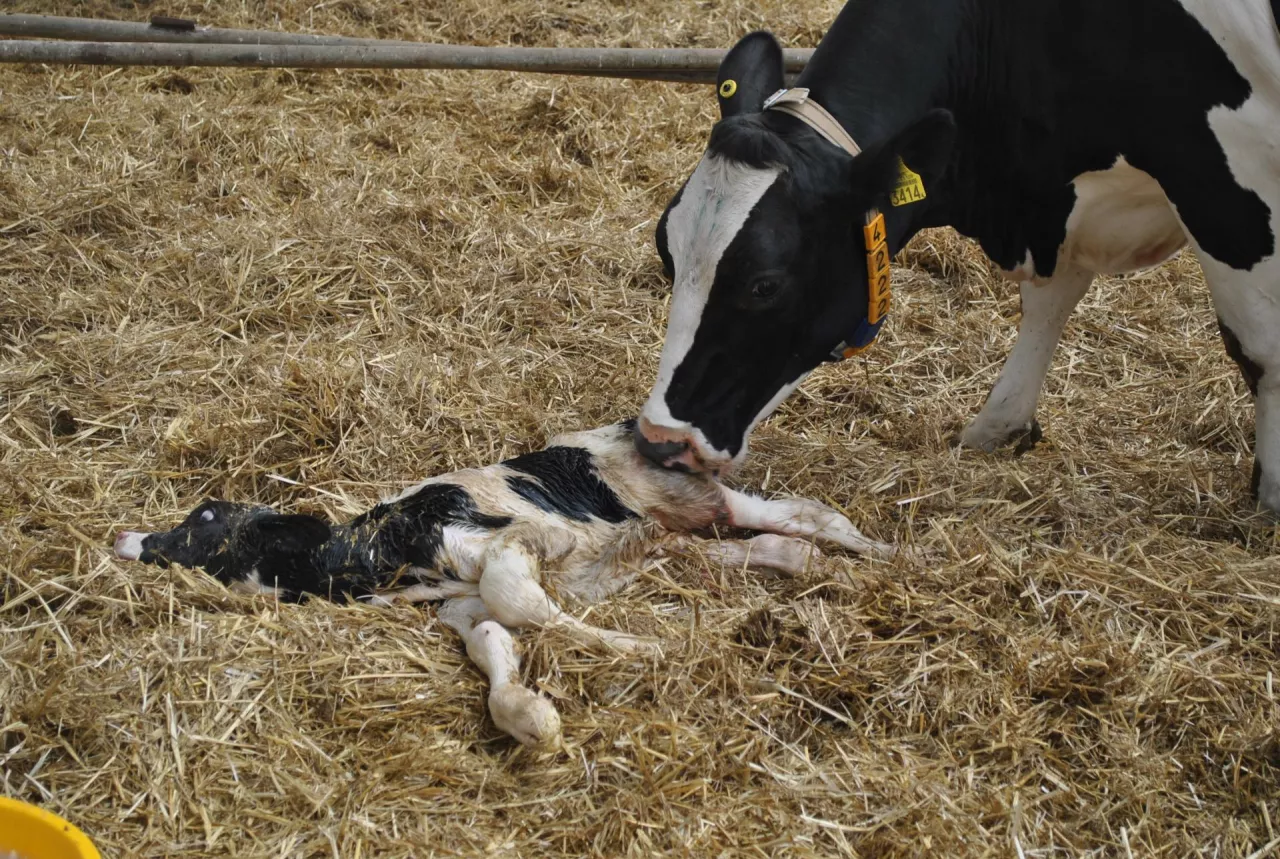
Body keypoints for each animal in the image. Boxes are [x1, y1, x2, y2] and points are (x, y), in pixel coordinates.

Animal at [115, 422, 890, 747]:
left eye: (205, 516)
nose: (128, 540)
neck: (392, 553)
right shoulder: (458, 606)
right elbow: (495, 630)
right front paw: (528, 715)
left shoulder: (524, 538)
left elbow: (522, 601)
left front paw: (639, 649)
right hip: (683, 536)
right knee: (782, 545)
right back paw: (829, 570)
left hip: (697, 499)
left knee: (810, 515)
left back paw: (891, 554)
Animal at [634, 0, 1280, 512]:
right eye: (667, 251)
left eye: (764, 284)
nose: (659, 441)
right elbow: (1049, 301)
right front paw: (999, 423)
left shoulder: (1232, 179)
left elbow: (1257, 346)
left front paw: (1271, 494)